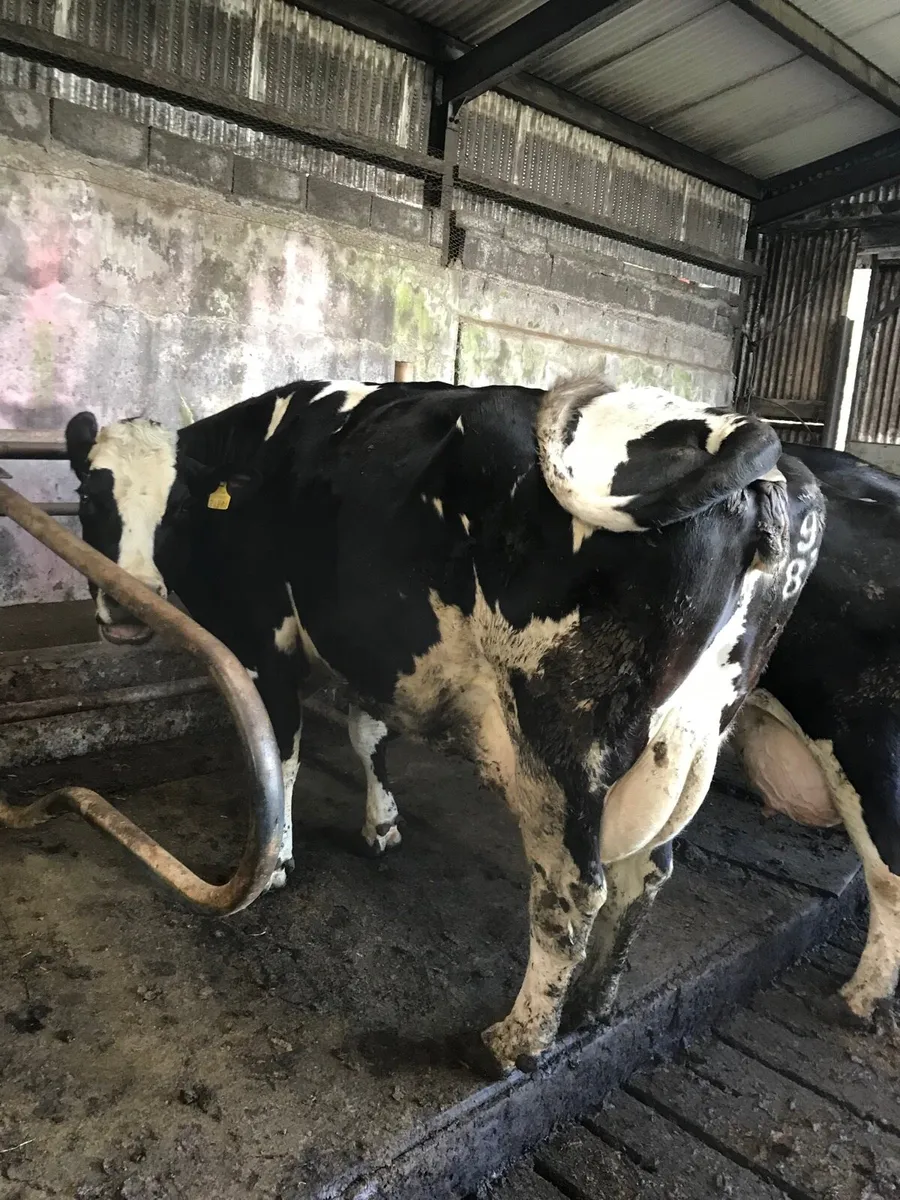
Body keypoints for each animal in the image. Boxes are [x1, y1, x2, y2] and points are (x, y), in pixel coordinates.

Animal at [64, 378, 822, 1073]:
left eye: (176, 507)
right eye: (90, 499)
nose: (129, 603)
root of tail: (734, 433)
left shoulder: (264, 643)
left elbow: (282, 755)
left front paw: (274, 862)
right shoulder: (375, 645)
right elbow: (368, 734)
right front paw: (381, 826)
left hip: (561, 739)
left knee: (573, 889)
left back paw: (517, 1040)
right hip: (688, 737)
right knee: (649, 871)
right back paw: (593, 1002)